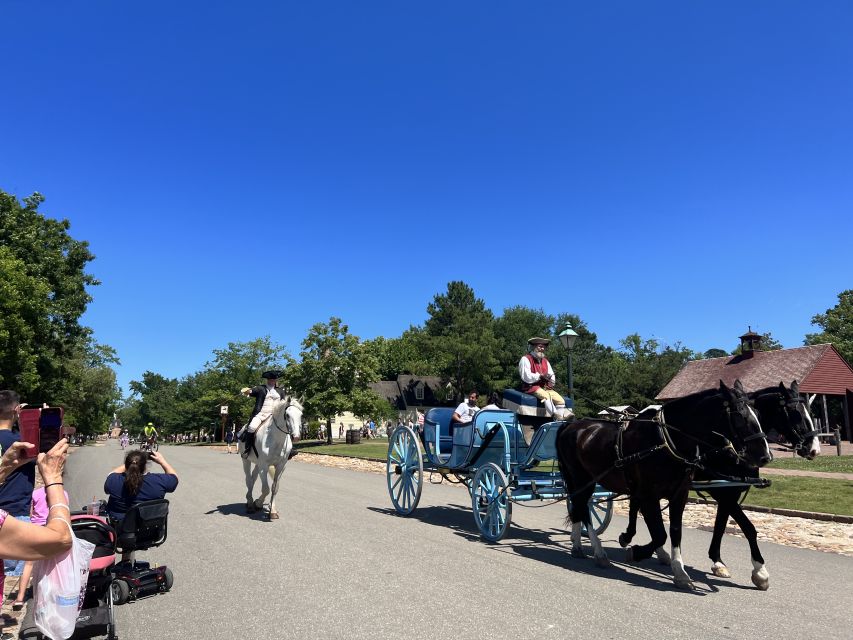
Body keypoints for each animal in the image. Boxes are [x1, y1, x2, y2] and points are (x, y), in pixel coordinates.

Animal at [556, 380, 768, 592]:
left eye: (759, 414)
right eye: (739, 415)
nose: (765, 456)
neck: (665, 441)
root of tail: (571, 425)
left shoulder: (680, 494)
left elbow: (674, 531)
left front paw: (680, 571)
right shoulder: (649, 495)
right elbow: (659, 534)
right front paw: (637, 552)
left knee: (580, 507)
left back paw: (578, 544)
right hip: (581, 479)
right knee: (582, 508)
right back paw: (597, 551)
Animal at [612, 380, 820, 592]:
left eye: (811, 413)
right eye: (795, 413)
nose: (814, 450)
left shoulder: (728, 491)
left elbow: (721, 526)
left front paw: (718, 562)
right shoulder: (723, 493)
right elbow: (747, 527)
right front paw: (760, 571)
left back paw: (658, 551)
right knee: (637, 505)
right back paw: (630, 538)